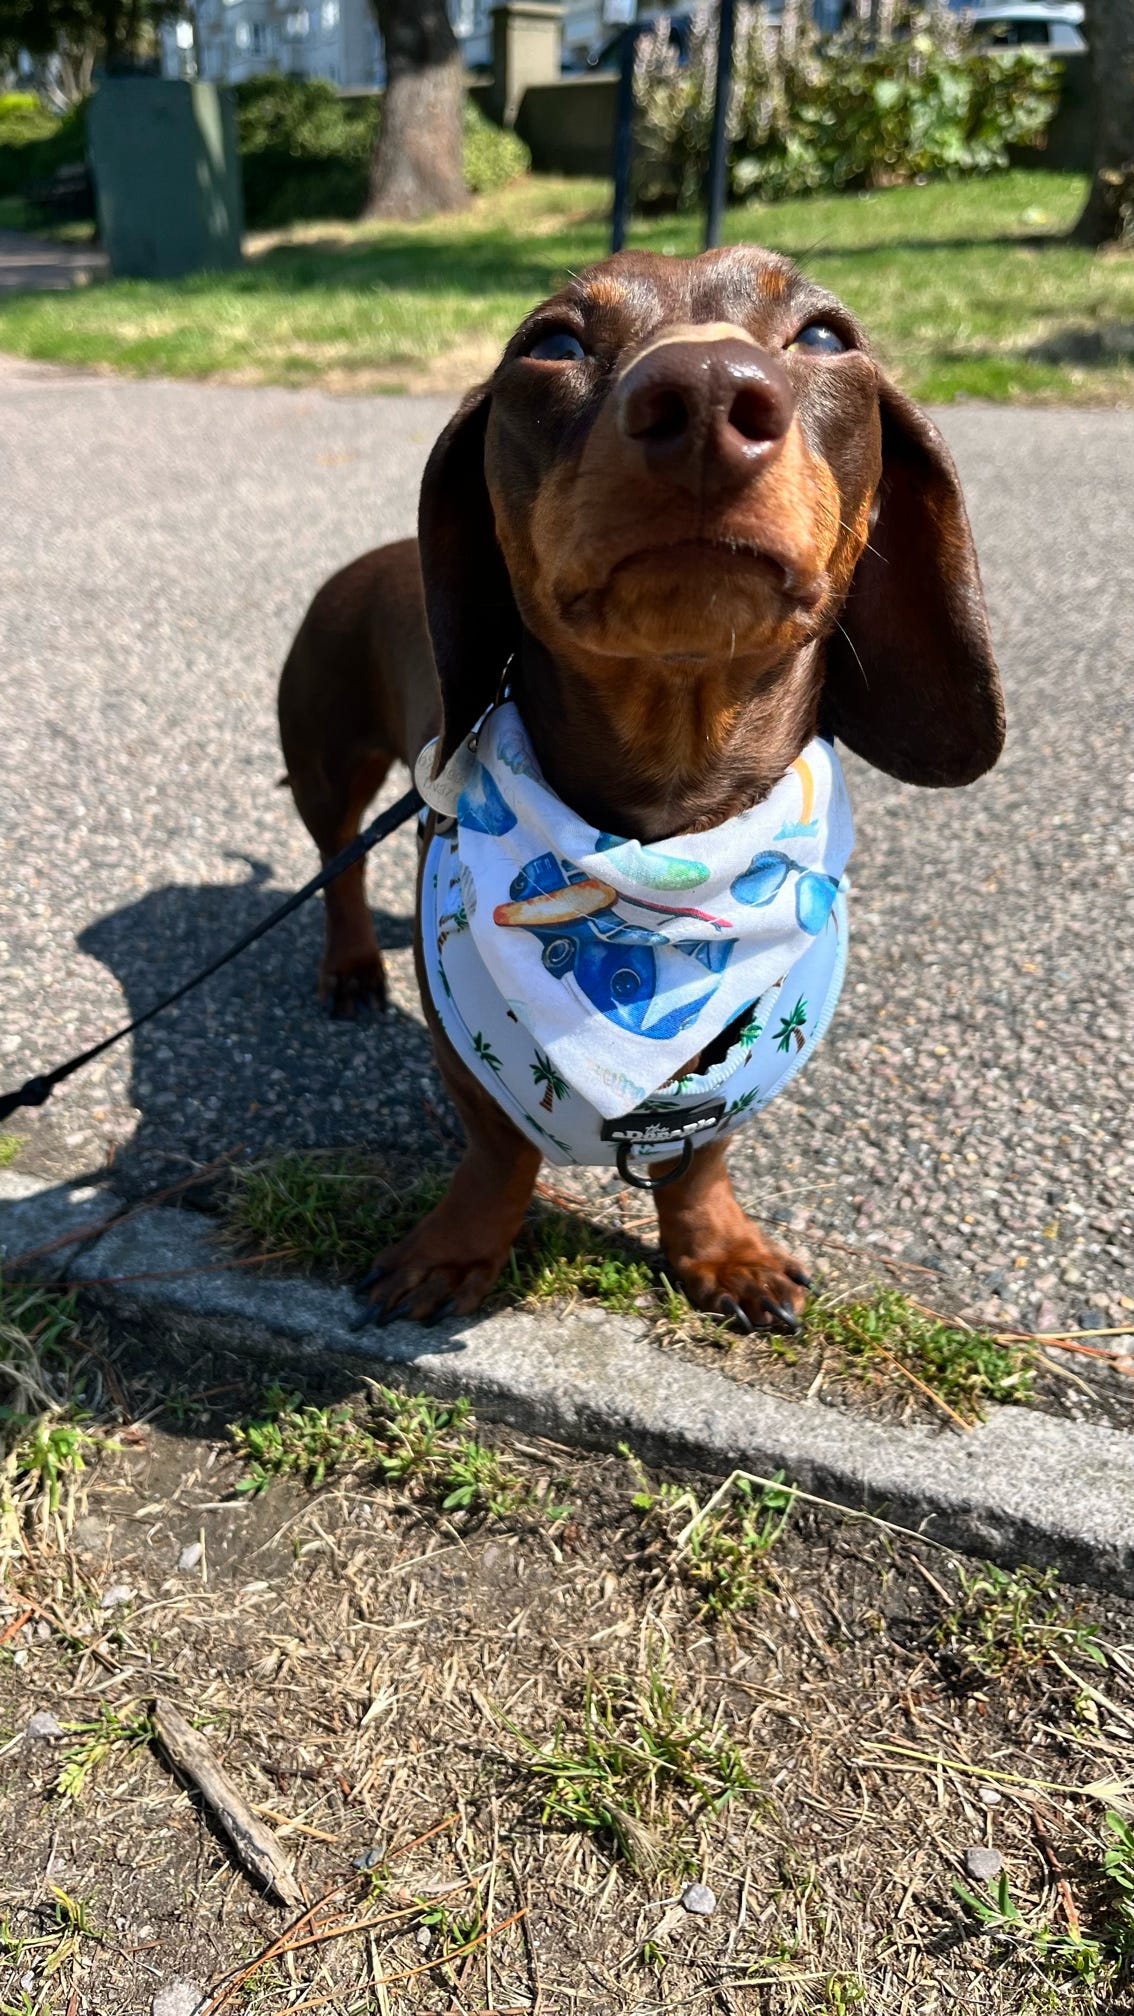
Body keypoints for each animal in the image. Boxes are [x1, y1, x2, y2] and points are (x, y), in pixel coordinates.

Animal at [278, 243, 1000, 1330]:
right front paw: (454, 1252)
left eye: (824, 335)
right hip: (328, 768)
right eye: (552, 344)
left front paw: (721, 1252)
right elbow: (498, 1150)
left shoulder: (739, 1069)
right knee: (339, 867)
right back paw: (354, 965)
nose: (703, 396)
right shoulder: (465, 1047)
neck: (667, 829)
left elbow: (701, 1155)